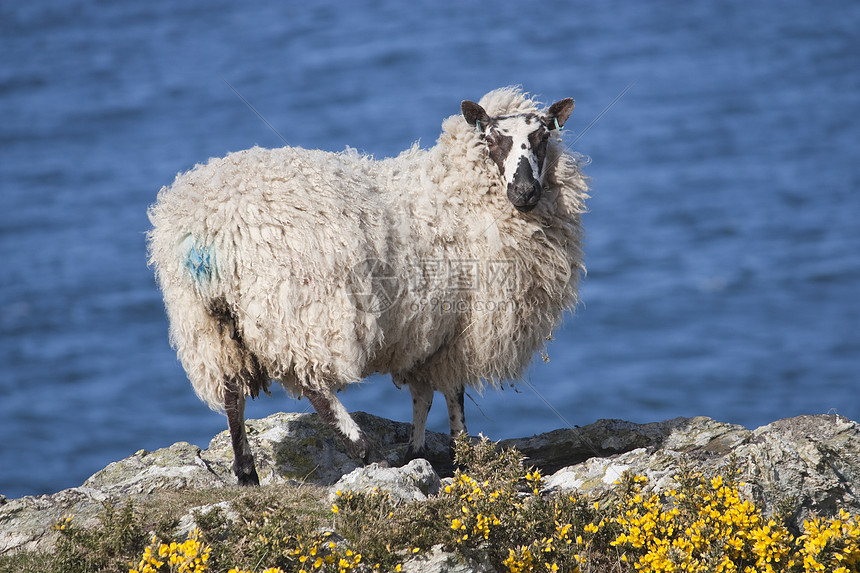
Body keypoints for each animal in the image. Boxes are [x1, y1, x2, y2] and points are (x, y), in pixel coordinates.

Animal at [149, 87, 592, 484]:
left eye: (543, 137)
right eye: (493, 140)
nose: (525, 191)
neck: (457, 193)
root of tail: (207, 228)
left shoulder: (424, 333)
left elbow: (423, 395)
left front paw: (419, 451)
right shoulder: (457, 333)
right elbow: (452, 396)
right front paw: (462, 457)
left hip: (208, 323)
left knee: (230, 392)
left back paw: (247, 475)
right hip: (298, 311)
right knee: (314, 387)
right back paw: (366, 452)